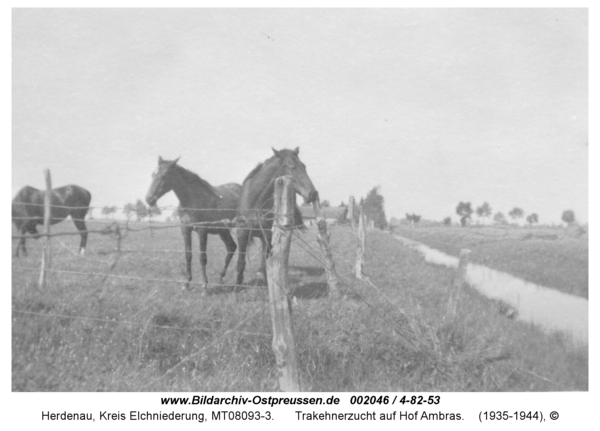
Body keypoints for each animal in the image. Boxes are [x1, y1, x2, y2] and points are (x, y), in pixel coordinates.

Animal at [144, 156, 240, 294]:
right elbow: (188, 255)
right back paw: (220, 278)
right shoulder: (185, 229)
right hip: (223, 230)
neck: (192, 199)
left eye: (164, 175)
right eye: (153, 174)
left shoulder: (202, 230)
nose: (149, 199)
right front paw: (187, 283)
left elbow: (202, 257)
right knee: (231, 247)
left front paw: (204, 286)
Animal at [236, 148, 318, 286]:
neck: (255, 204)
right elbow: (240, 263)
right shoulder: (242, 234)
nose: (313, 193)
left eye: (304, 166)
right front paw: (237, 285)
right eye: (292, 167)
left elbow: (266, 260)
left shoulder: (267, 235)